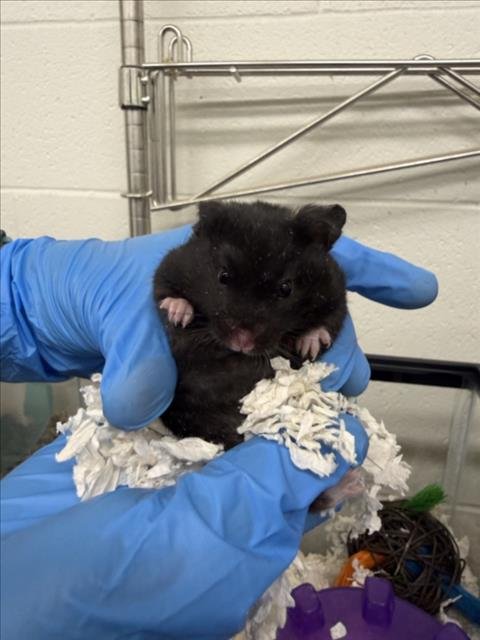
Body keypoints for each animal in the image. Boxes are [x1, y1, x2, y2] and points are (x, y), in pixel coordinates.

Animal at [153, 199, 347, 450]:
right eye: (223, 276)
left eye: (286, 288)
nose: (242, 342)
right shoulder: (170, 266)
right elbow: (165, 291)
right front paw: (177, 313)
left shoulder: (336, 290)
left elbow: (328, 320)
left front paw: (309, 345)